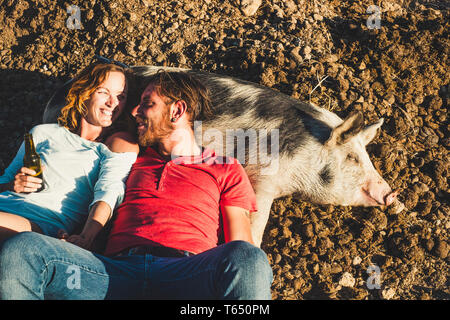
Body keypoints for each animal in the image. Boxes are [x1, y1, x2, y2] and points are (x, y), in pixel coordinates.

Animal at [44, 65, 400, 248]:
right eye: (352, 158)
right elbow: (255, 222)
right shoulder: (261, 178)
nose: (391, 193)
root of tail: (60, 94)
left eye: (366, 156)